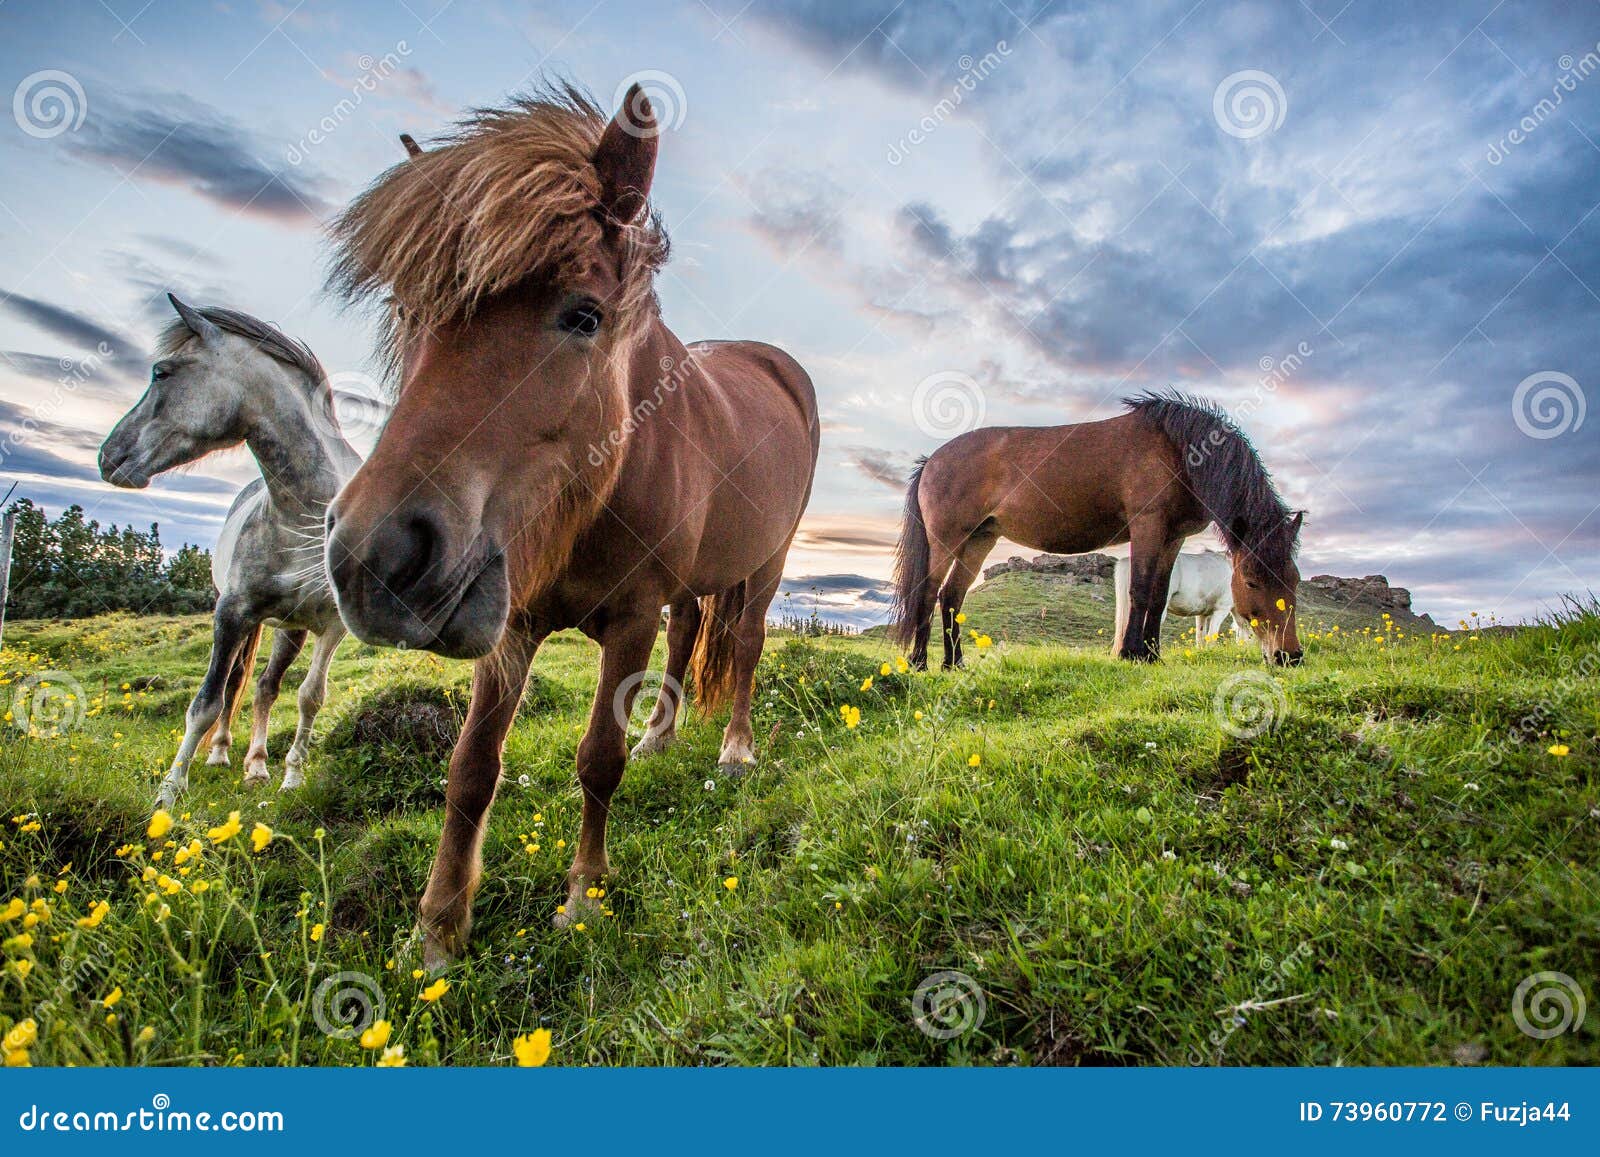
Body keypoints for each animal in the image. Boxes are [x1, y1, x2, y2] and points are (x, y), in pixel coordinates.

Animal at [100, 294, 363, 809]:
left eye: (162, 372)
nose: (107, 456)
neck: (303, 513)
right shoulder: (232, 612)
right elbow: (207, 701)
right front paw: (169, 793)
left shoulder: (331, 627)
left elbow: (310, 696)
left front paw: (293, 777)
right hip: (248, 619)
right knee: (238, 682)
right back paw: (221, 754)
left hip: (289, 629)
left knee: (264, 687)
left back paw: (257, 765)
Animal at [328, 86, 825, 966]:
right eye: (410, 313)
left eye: (586, 316)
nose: (377, 559)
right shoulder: (513, 621)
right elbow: (471, 766)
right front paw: (439, 926)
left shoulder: (628, 618)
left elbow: (598, 760)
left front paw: (583, 897)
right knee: (690, 630)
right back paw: (663, 735)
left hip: (765, 565)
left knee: (746, 642)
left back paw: (735, 748)